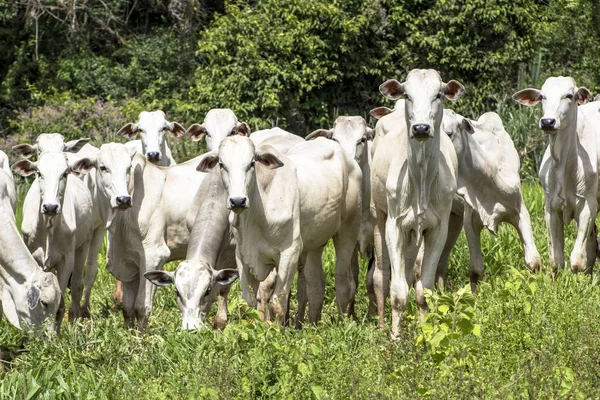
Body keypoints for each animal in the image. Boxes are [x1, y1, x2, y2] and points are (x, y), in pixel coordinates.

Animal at [12, 150, 94, 324]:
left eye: (64, 173)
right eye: (39, 173)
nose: (50, 206)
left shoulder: (66, 260)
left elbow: (59, 302)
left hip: (84, 243)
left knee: (77, 285)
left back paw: (74, 318)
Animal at [199, 136, 364, 324]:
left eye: (252, 163)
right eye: (222, 164)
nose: (238, 201)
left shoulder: (289, 253)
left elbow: (277, 304)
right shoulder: (243, 256)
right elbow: (254, 300)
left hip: (348, 231)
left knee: (343, 282)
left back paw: (341, 323)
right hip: (315, 243)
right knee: (316, 285)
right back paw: (313, 324)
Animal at [370, 69, 464, 338]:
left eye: (438, 94)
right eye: (407, 95)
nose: (421, 128)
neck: (421, 178)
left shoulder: (438, 229)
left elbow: (424, 289)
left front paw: (425, 333)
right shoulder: (394, 226)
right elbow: (398, 291)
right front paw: (395, 338)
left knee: (412, 271)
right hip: (378, 215)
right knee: (381, 275)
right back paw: (382, 323)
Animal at [510, 77, 600, 272]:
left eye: (569, 95)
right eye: (542, 96)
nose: (547, 122)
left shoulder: (588, 204)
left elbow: (577, 261)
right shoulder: (550, 207)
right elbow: (557, 261)